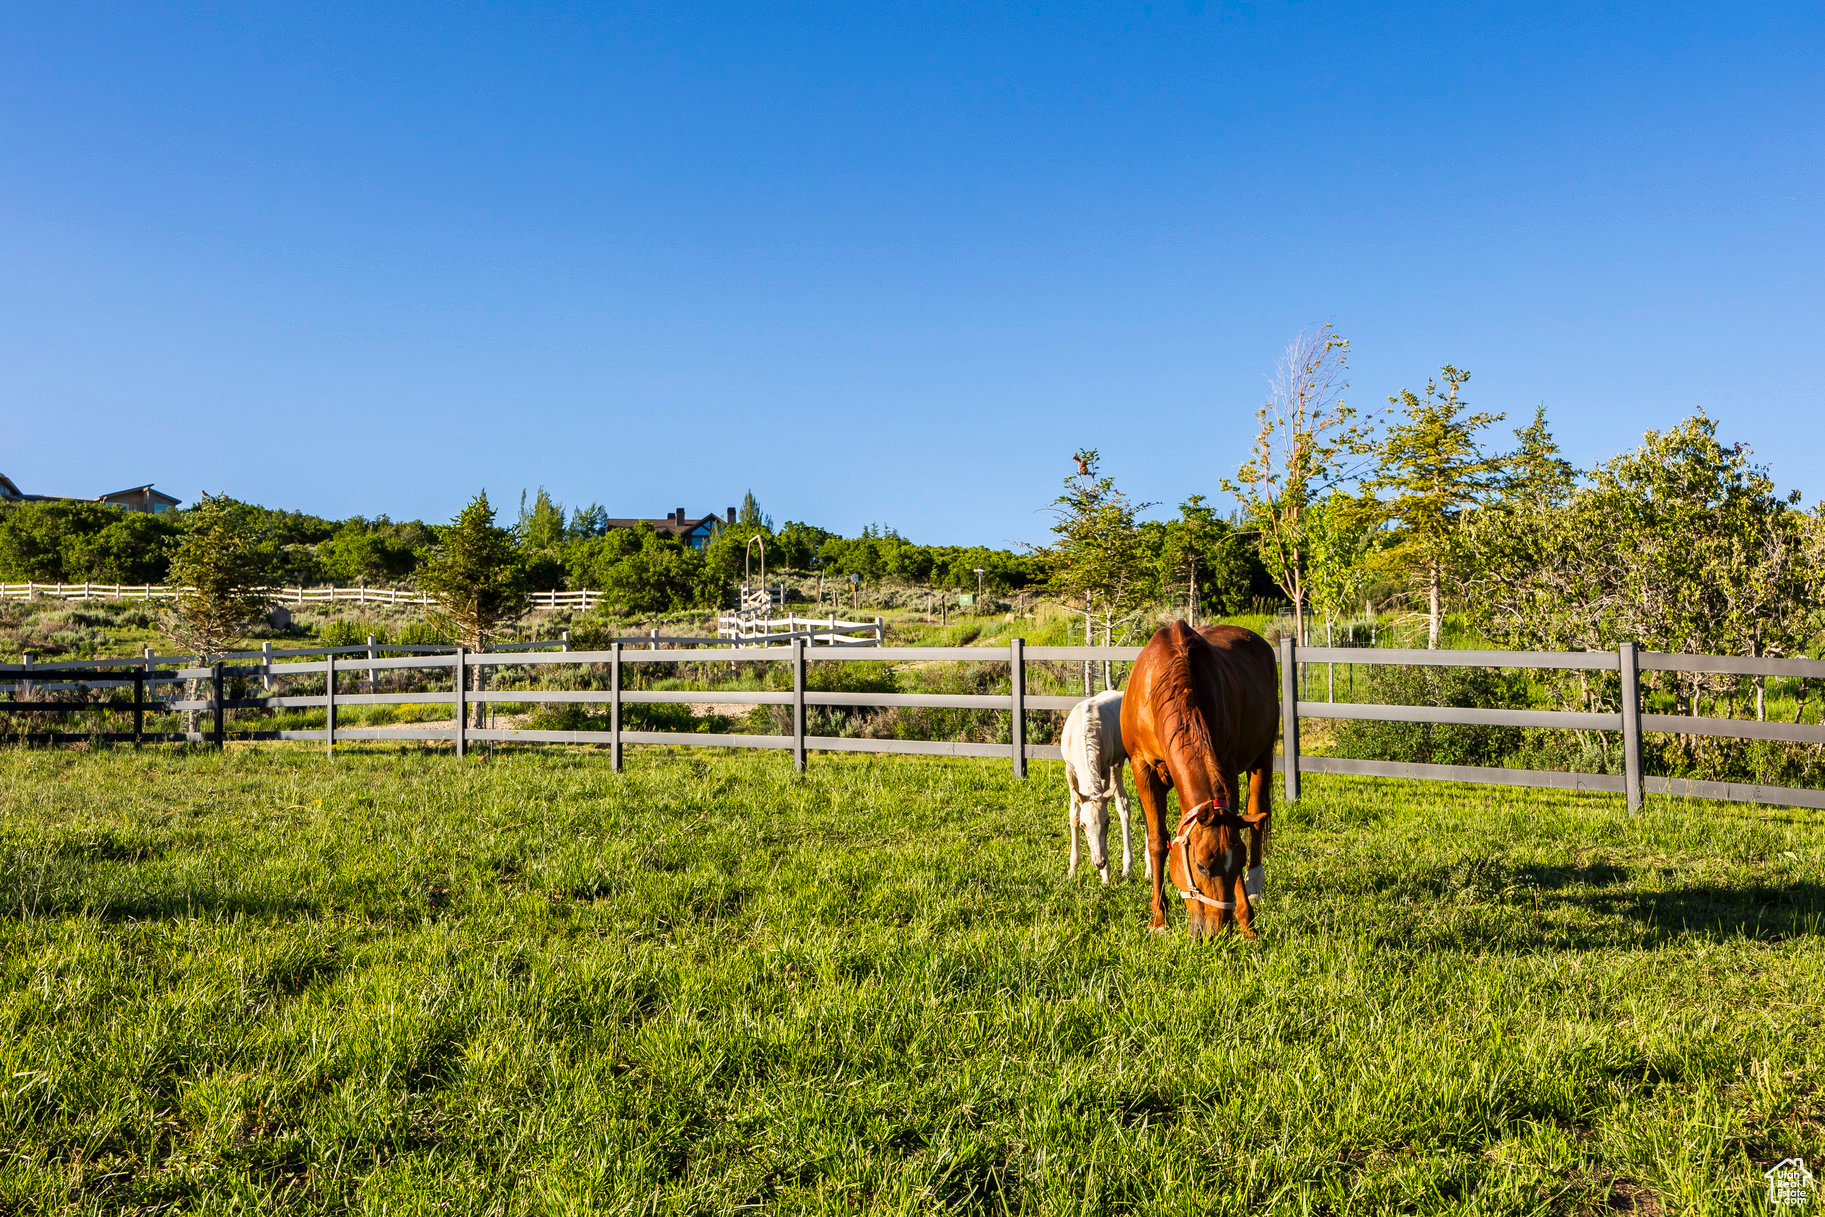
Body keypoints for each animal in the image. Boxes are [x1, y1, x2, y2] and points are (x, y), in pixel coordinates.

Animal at [1058, 693, 1138, 886]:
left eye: (1107, 823)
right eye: (1084, 825)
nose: (1099, 862)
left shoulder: (1104, 768)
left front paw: (1106, 876)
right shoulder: (1069, 769)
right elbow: (1073, 814)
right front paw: (1072, 870)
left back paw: (1136, 868)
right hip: (1117, 764)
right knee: (1123, 803)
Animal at [1116, 624, 1277, 941]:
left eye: (1237, 863)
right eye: (1201, 866)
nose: (1217, 931)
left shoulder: (1226, 769)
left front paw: (1247, 922)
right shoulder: (1143, 770)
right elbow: (1157, 841)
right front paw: (1158, 918)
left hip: (1263, 758)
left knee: (1256, 815)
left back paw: (1255, 884)